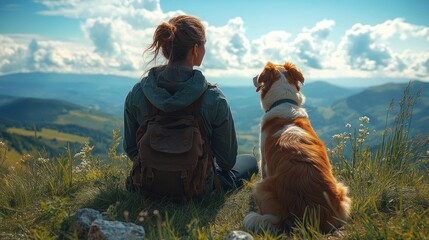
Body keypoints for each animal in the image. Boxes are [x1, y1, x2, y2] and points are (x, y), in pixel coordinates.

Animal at [242, 61, 350, 233]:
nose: (253, 77)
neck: (284, 100)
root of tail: (312, 212)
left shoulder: (264, 159)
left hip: (262, 188)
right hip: (342, 192)